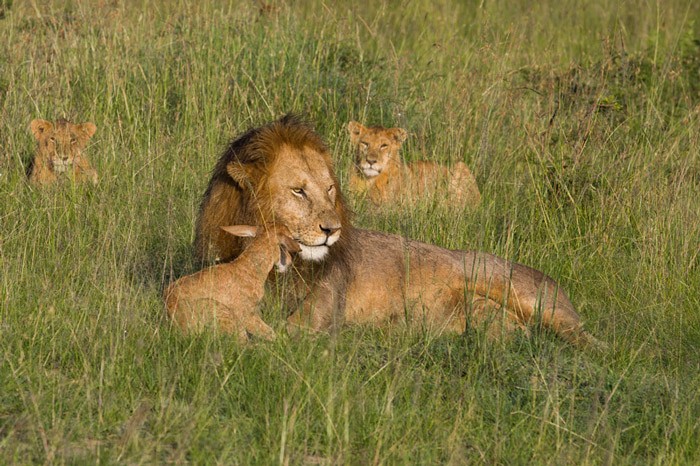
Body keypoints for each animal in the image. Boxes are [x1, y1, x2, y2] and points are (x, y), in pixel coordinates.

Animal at [194, 114, 604, 346]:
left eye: (330, 189)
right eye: (298, 191)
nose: (332, 229)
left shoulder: (322, 314)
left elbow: (290, 331)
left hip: (524, 293)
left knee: (586, 338)